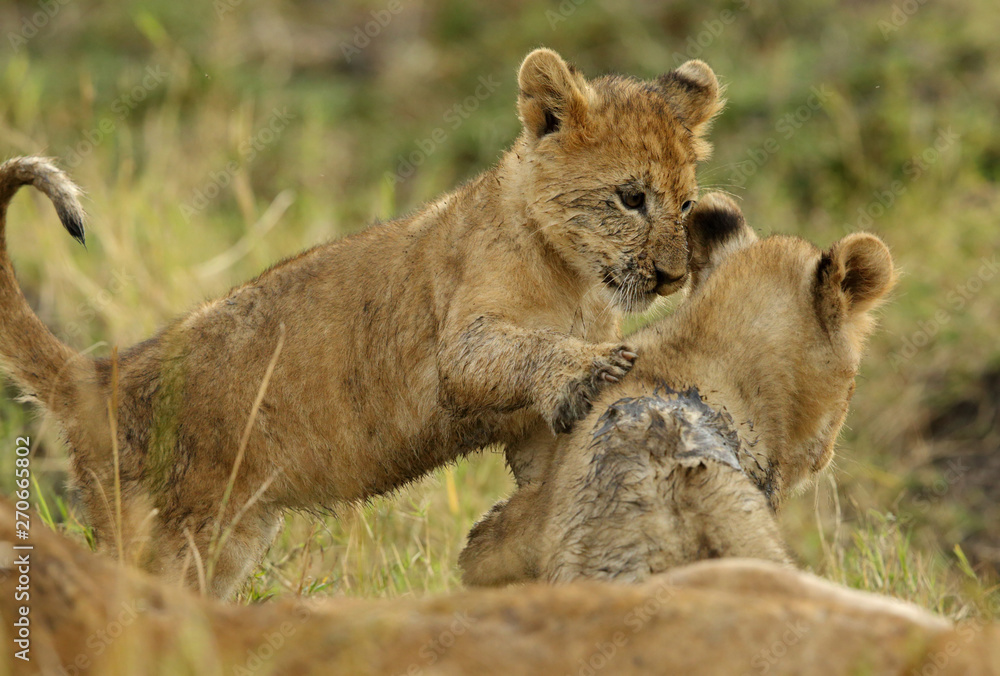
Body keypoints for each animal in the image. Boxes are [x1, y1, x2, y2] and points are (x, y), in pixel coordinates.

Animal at [0, 49, 723, 596]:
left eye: (686, 204)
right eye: (630, 198)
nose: (673, 277)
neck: (576, 280)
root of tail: (105, 373)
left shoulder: (531, 432)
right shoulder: (460, 346)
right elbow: (528, 348)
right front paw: (596, 365)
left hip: (232, 531)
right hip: (171, 525)